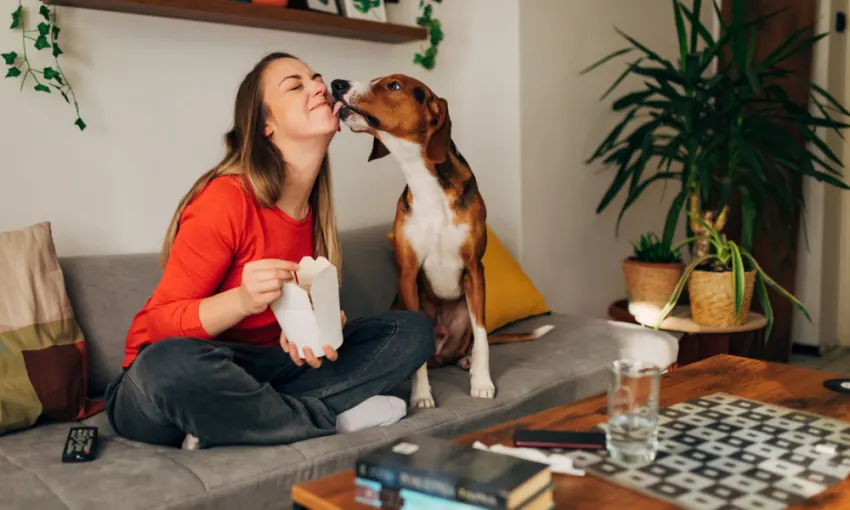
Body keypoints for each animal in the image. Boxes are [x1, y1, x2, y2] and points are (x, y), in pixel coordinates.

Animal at [328, 75, 552, 408]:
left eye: (393, 85)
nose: (337, 84)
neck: (424, 180)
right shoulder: (408, 273)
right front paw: (421, 394)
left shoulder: (474, 269)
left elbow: (483, 338)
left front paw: (481, 382)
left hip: (468, 306)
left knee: (467, 344)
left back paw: (467, 361)